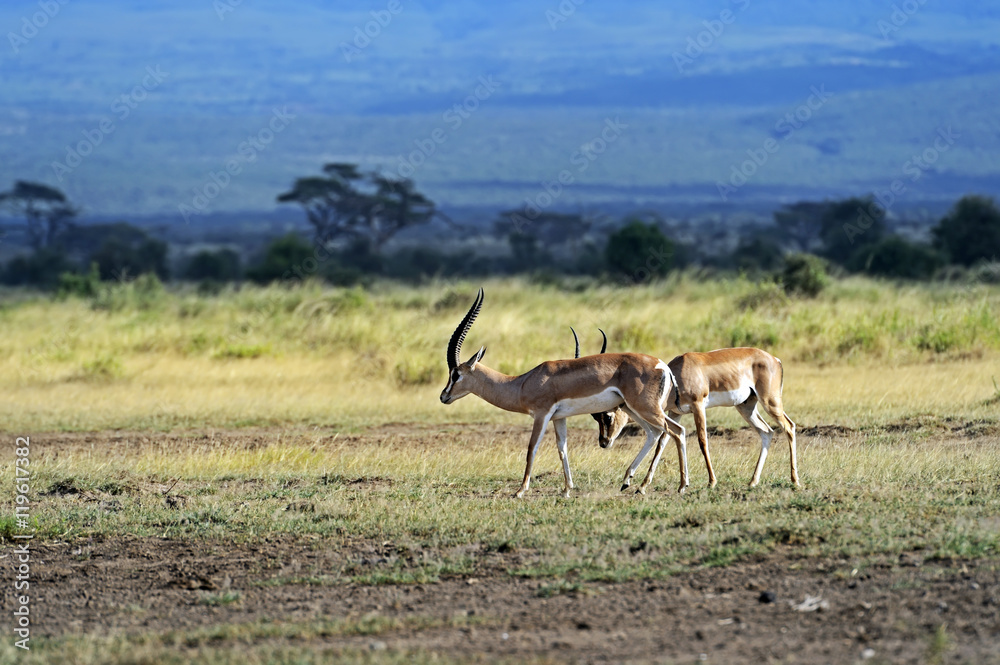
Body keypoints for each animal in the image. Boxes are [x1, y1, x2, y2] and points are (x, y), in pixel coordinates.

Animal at [440, 289, 689, 498]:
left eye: (456, 374)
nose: (444, 396)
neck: (522, 383)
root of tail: (662, 365)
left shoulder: (541, 415)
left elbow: (532, 447)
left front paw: (520, 491)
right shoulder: (559, 418)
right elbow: (563, 449)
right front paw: (567, 489)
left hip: (645, 408)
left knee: (676, 431)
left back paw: (681, 486)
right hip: (632, 408)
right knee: (655, 433)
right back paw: (630, 483)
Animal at [593, 348, 799, 491]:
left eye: (608, 416)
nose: (604, 442)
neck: (677, 375)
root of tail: (775, 359)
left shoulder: (698, 406)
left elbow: (702, 441)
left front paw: (711, 482)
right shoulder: (674, 413)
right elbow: (662, 443)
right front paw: (642, 487)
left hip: (770, 402)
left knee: (789, 426)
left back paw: (795, 481)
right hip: (746, 407)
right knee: (767, 432)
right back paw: (752, 482)